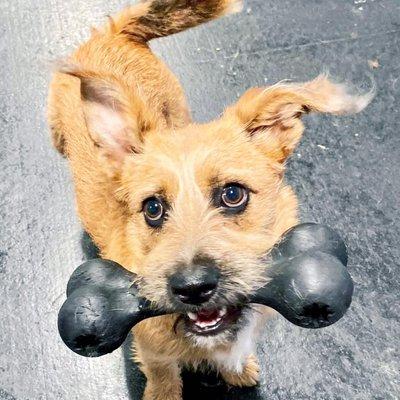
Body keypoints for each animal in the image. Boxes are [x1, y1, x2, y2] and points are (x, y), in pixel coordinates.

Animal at [48, 1, 374, 398]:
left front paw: (238, 368)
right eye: (153, 208)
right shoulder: (153, 352)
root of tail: (113, 33)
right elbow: (163, 375)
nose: (192, 287)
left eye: (232, 194)